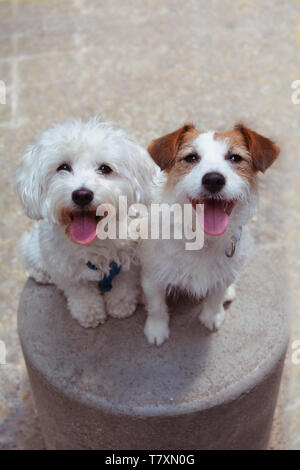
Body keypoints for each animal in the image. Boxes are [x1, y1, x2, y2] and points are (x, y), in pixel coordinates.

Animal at [15, 118, 156, 326]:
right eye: (63, 167)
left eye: (105, 168)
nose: (82, 195)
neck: (94, 243)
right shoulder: (67, 272)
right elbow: (82, 294)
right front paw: (89, 314)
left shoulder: (130, 263)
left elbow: (124, 286)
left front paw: (121, 306)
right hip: (35, 249)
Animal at [140, 123, 278, 346]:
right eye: (191, 157)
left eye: (235, 158)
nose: (213, 179)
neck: (203, 238)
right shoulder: (153, 276)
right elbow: (157, 306)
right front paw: (156, 329)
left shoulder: (223, 275)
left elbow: (216, 297)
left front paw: (212, 316)